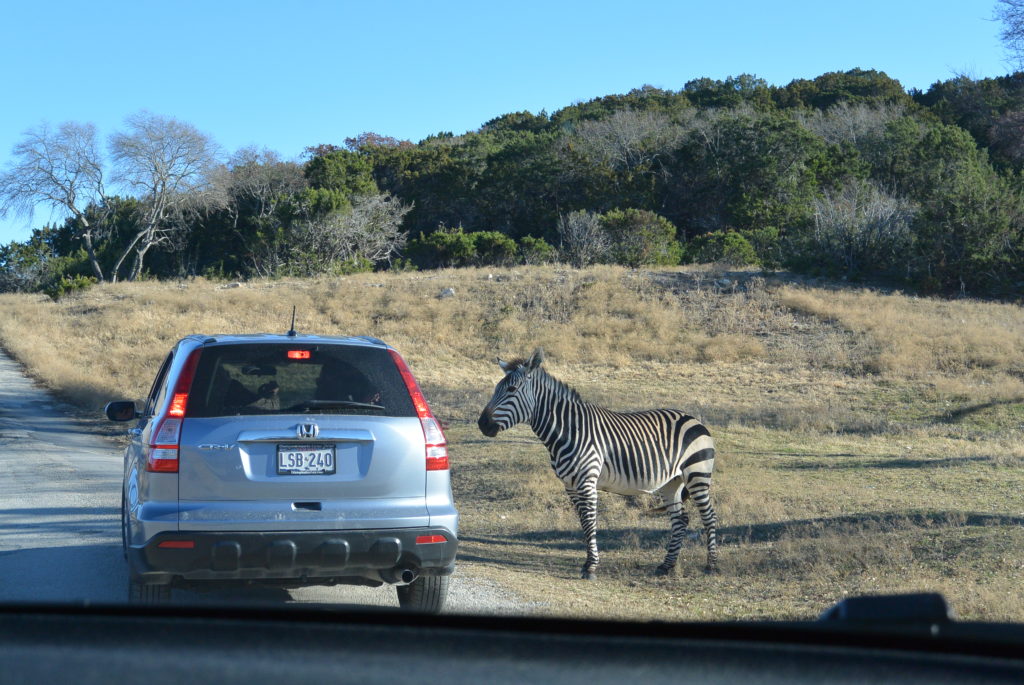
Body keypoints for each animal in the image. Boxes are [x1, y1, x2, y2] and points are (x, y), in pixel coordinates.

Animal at [475, 348, 716, 577]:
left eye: (511, 390)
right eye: (496, 389)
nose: (482, 424)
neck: (568, 430)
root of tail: (692, 418)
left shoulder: (587, 482)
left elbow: (590, 521)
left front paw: (591, 567)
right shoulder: (570, 486)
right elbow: (583, 522)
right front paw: (587, 563)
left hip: (697, 475)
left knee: (709, 516)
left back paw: (711, 566)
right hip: (671, 482)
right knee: (681, 520)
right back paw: (666, 566)